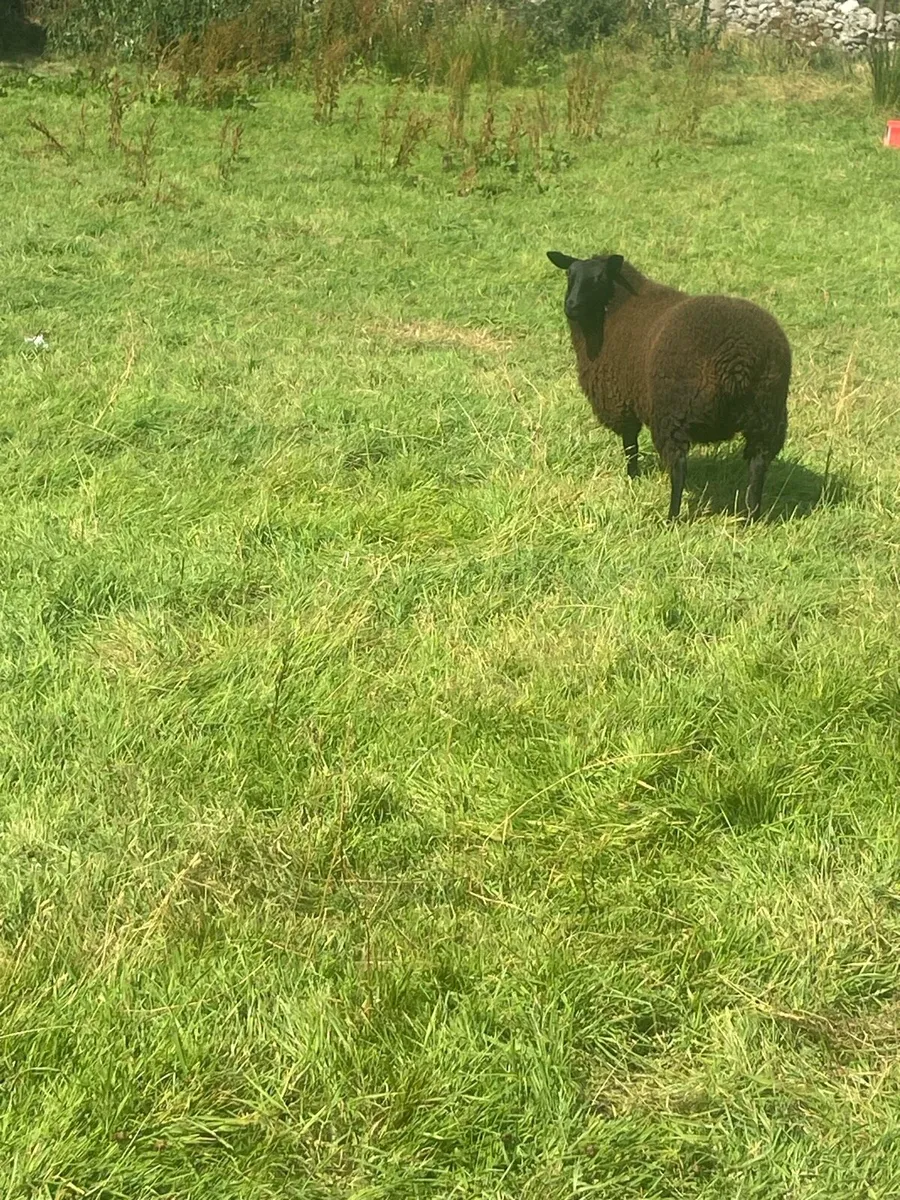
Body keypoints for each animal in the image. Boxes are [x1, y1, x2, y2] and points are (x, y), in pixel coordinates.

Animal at [546, 251, 791, 521]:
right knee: (758, 463)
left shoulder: (620, 400)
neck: (614, 310)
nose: (571, 305)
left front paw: (632, 476)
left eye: (599, 278)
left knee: (678, 466)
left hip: (674, 411)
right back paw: (750, 516)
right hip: (767, 413)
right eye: (569, 274)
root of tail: (739, 358)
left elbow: (630, 444)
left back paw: (672, 516)